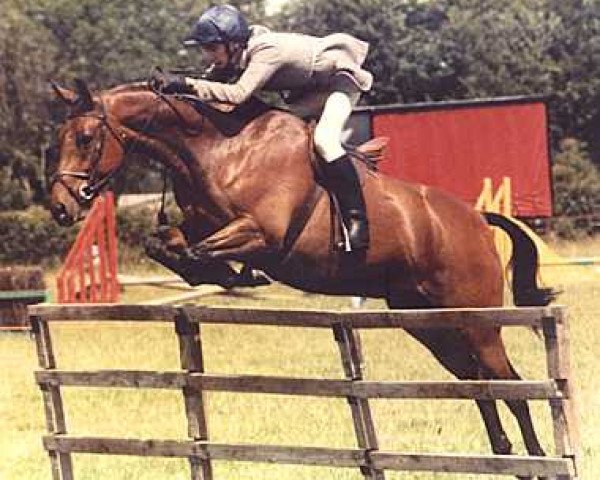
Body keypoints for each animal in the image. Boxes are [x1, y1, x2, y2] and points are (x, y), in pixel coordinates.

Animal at [49, 79, 556, 476]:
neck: (218, 148)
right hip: (429, 323)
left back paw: (536, 460)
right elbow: (166, 245)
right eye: (61, 139)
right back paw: (504, 455)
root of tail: (475, 218)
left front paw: (234, 275)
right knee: (478, 383)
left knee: (510, 385)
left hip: (478, 321)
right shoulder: (201, 225)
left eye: (87, 137)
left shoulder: (261, 232)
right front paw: (222, 275)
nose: (61, 207)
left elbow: (200, 251)